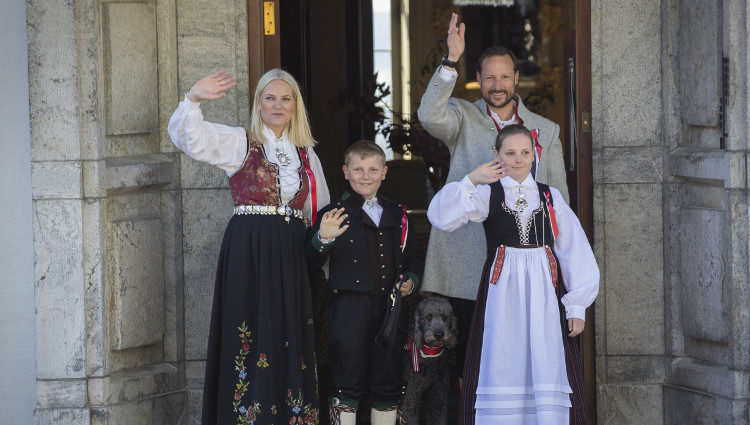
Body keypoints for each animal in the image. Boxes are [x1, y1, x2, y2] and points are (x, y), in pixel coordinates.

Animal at [400, 294, 458, 424]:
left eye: (445, 317)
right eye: (428, 316)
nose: (439, 335)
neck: (430, 356)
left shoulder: (438, 396)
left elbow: (437, 417)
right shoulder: (412, 395)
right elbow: (410, 416)